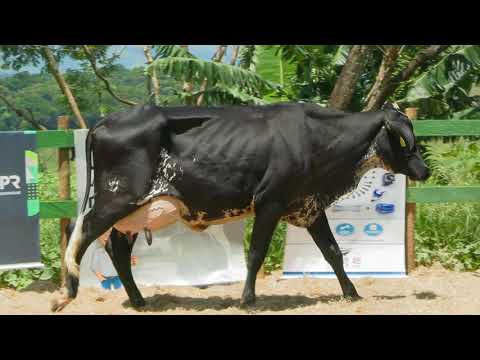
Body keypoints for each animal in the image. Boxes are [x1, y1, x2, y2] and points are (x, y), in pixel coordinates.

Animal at [53, 102, 432, 310]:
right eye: (404, 139)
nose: (425, 170)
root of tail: (105, 122)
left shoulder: (309, 206)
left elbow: (333, 252)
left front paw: (352, 293)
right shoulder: (270, 202)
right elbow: (256, 254)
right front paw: (247, 299)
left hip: (135, 211)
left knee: (115, 249)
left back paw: (139, 301)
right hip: (115, 199)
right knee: (80, 231)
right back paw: (66, 294)